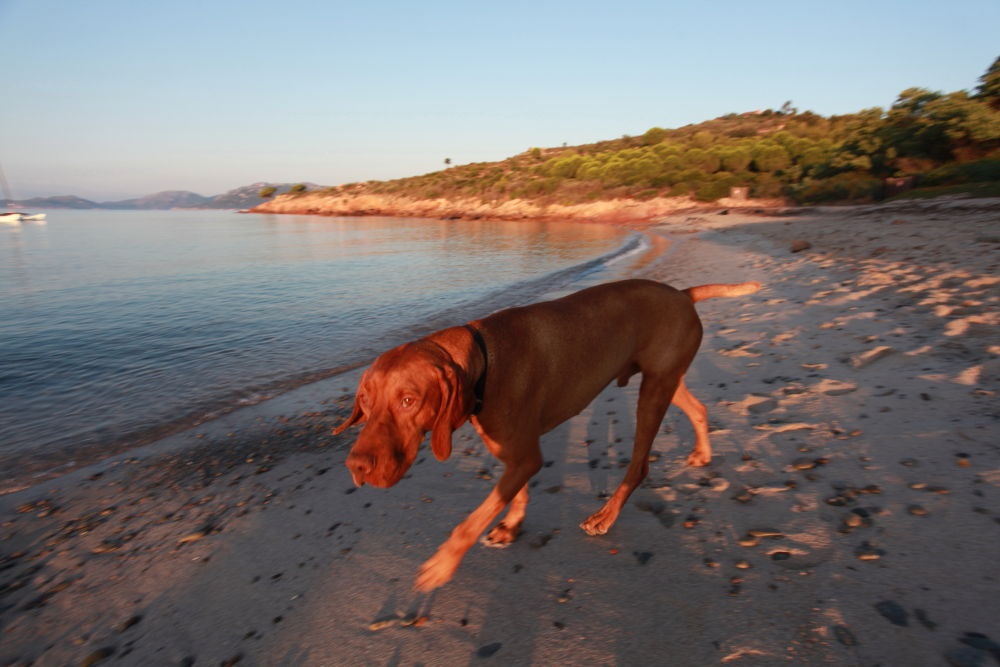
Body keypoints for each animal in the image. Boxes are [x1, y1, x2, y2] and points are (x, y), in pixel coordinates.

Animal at [334, 280, 756, 592]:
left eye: (408, 400)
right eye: (365, 400)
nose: (356, 466)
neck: (482, 361)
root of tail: (683, 294)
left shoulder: (525, 456)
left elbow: (472, 520)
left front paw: (442, 564)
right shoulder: (514, 454)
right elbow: (513, 493)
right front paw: (511, 525)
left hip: (653, 393)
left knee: (639, 466)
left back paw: (606, 515)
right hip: (664, 379)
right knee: (698, 409)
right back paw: (702, 453)